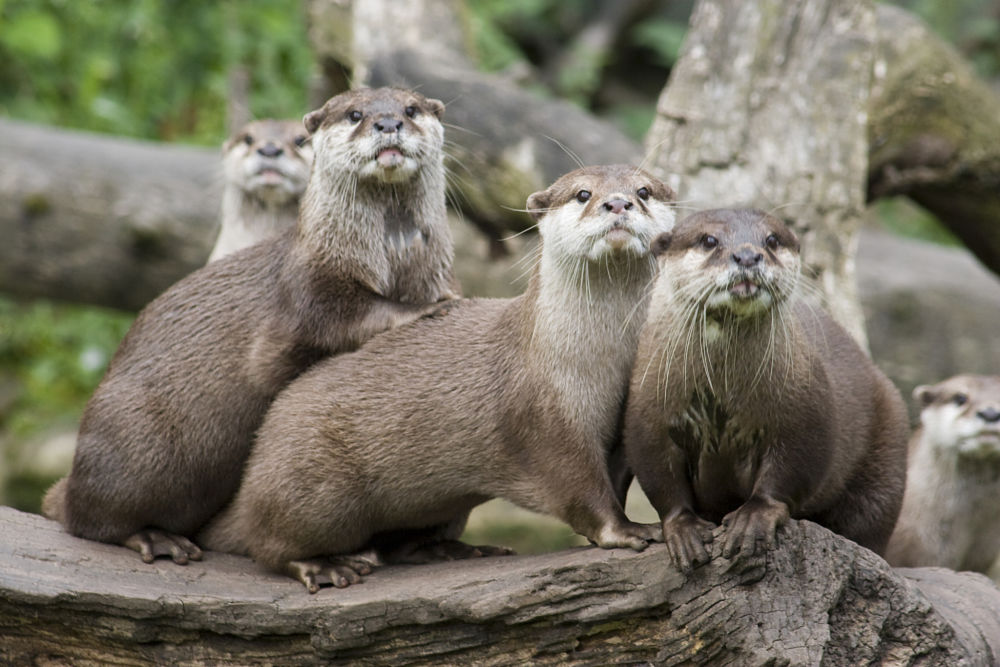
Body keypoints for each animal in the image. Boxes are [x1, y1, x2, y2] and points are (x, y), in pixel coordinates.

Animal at [198, 164, 676, 592]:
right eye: (582, 194)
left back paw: (452, 550)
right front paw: (628, 531)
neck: (597, 363)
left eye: (644, 191)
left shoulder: (622, 417)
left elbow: (617, 476)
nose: (618, 202)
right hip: (315, 491)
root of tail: (255, 468)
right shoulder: (544, 417)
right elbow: (580, 488)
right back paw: (323, 567)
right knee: (267, 544)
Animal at [624, 210, 916, 576]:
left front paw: (753, 520)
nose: (748, 255)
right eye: (709, 240)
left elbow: (791, 468)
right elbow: (660, 478)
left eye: (772, 240)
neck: (720, 394)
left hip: (886, 456)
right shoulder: (648, 414)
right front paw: (683, 530)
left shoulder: (803, 411)